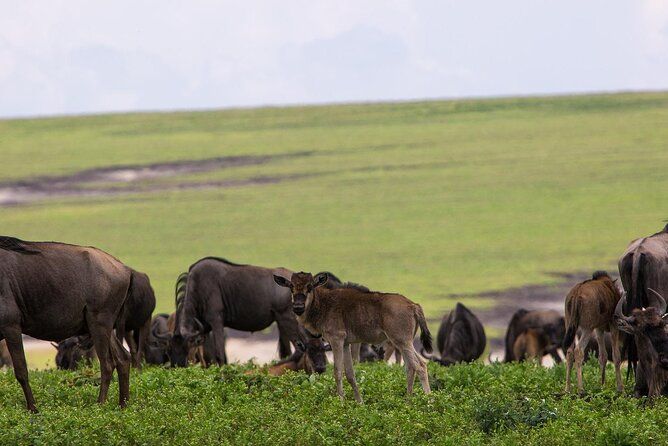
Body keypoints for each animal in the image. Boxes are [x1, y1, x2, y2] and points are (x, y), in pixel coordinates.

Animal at [272, 270, 434, 402]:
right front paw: (359, 402)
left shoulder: (336, 341)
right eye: (291, 287)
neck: (324, 304)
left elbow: (337, 371)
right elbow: (350, 373)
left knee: (419, 365)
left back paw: (429, 400)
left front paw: (341, 401)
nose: (298, 307)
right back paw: (408, 401)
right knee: (411, 367)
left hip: (402, 342)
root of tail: (413, 305)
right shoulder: (345, 344)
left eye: (310, 286)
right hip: (403, 343)